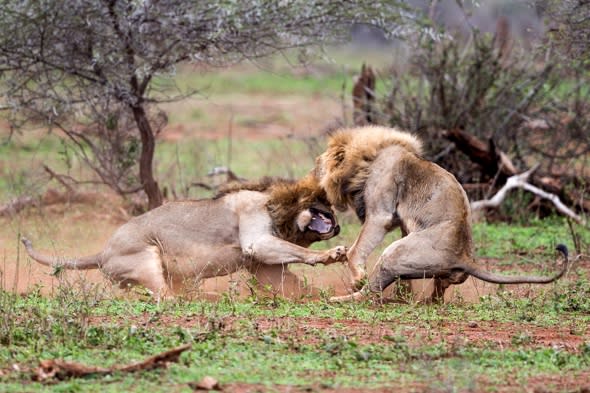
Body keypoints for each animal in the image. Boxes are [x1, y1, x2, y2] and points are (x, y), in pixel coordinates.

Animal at [22, 175, 346, 300]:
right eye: (324, 203)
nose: (339, 220)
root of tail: (101, 252)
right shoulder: (256, 240)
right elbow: (299, 251)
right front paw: (330, 255)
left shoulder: (264, 267)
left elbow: (290, 283)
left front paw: (320, 295)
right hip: (147, 256)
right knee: (165, 297)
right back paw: (208, 298)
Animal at [316, 125, 572, 300]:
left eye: (322, 163)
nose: (315, 167)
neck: (370, 157)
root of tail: (464, 257)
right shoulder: (403, 222)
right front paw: (403, 292)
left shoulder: (382, 214)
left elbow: (357, 249)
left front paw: (356, 276)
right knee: (441, 287)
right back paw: (417, 299)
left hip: (394, 252)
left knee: (372, 291)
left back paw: (342, 298)